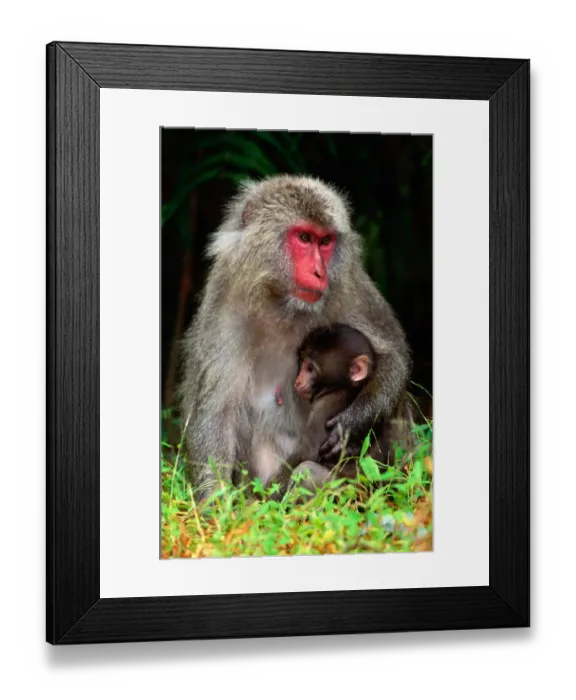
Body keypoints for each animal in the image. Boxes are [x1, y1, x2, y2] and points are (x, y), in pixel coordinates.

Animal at [179, 174, 413, 501]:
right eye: (303, 238)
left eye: (325, 241)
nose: (318, 272)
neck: (282, 303)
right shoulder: (225, 306)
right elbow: (217, 411)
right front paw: (217, 504)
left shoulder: (348, 285)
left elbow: (393, 358)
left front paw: (355, 423)